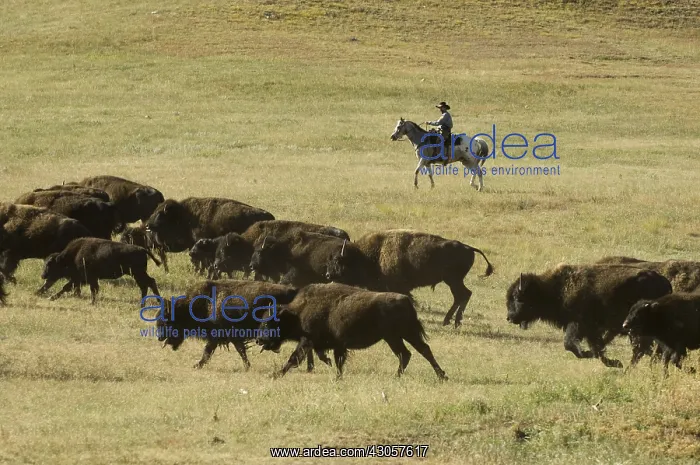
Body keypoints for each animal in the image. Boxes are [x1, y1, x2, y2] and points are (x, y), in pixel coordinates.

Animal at [155, 280, 331, 371]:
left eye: (167, 320)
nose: (159, 337)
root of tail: (296, 291)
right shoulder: (226, 337)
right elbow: (235, 351)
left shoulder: (223, 336)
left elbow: (211, 351)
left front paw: (197, 365)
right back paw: (312, 367)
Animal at [257, 282, 447, 380]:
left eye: (268, 323)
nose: (259, 340)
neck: (298, 312)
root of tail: (405, 300)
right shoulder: (334, 345)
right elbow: (334, 360)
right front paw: (336, 374)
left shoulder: (308, 341)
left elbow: (294, 358)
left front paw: (275, 374)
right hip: (399, 337)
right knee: (413, 352)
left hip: (399, 336)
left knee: (415, 352)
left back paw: (437, 376)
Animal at [325, 229, 493, 327]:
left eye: (339, 261)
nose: (328, 275)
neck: (371, 255)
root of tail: (469, 248)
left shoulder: (397, 287)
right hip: (453, 281)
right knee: (462, 295)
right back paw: (449, 321)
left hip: (453, 281)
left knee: (463, 295)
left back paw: (454, 322)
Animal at [506, 264, 673, 368]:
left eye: (518, 297)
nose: (509, 317)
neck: (557, 288)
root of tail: (665, 283)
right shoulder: (590, 331)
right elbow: (597, 348)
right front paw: (613, 362)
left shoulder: (579, 324)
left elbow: (570, 344)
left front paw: (593, 355)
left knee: (641, 350)